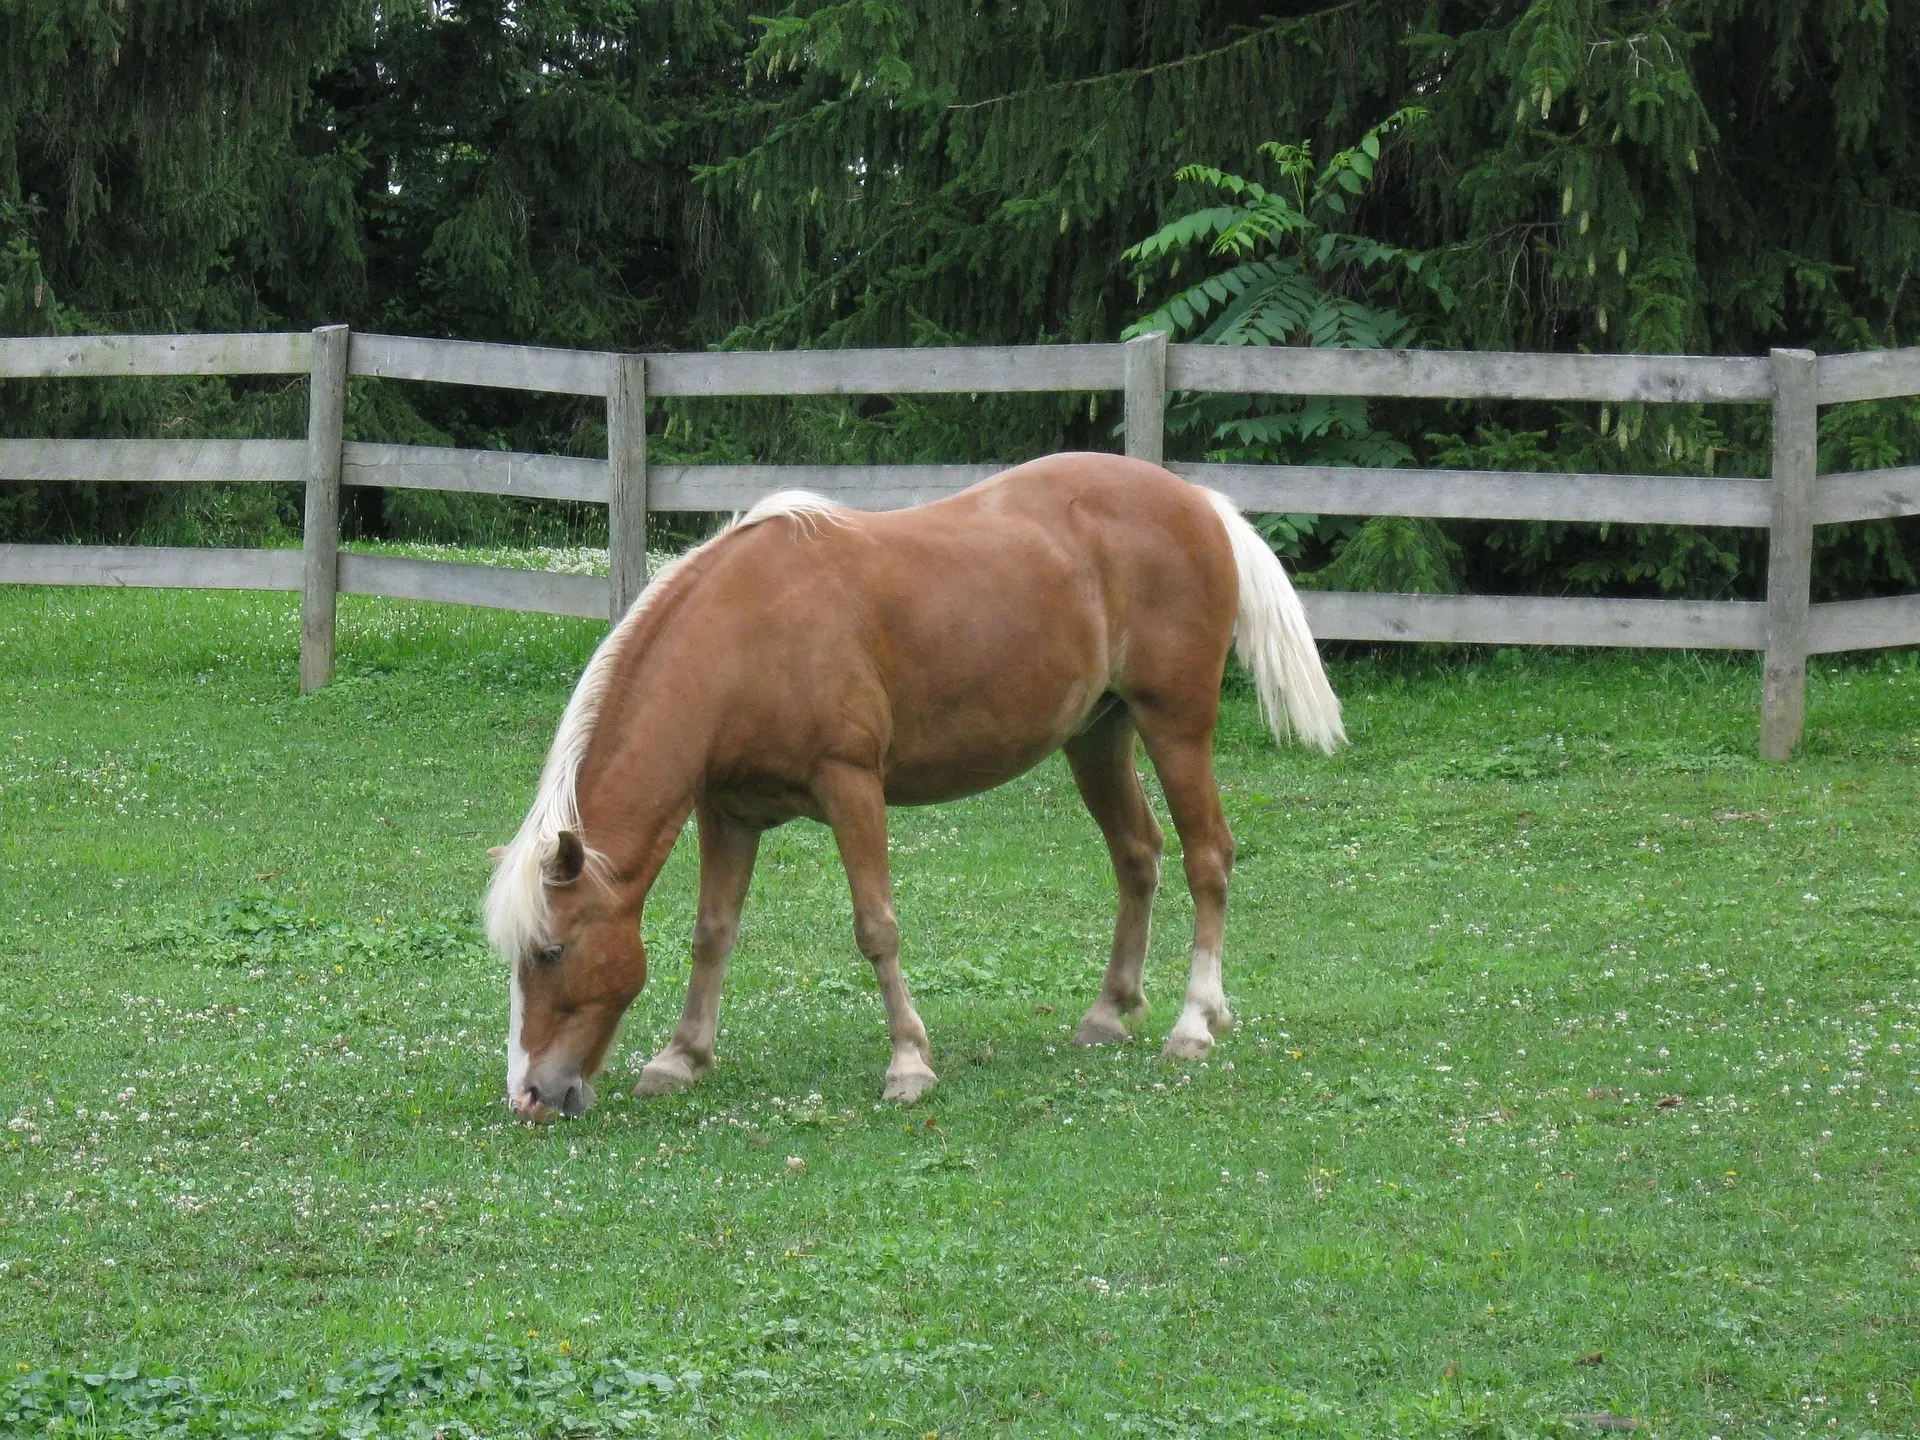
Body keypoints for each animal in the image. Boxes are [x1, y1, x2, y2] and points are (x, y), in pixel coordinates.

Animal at [487, 456, 1344, 1121]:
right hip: (1098, 737)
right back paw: (1110, 1011)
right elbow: (712, 933)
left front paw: (908, 1063)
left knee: (1207, 857)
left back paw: (1194, 1023)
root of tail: (1197, 502)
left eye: (553, 950)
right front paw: (682, 1056)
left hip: (1176, 727)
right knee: (1138, 855)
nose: (529, 1094)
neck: (745, 637)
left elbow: (877, 928)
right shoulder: (728, 811)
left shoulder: (851, 788)